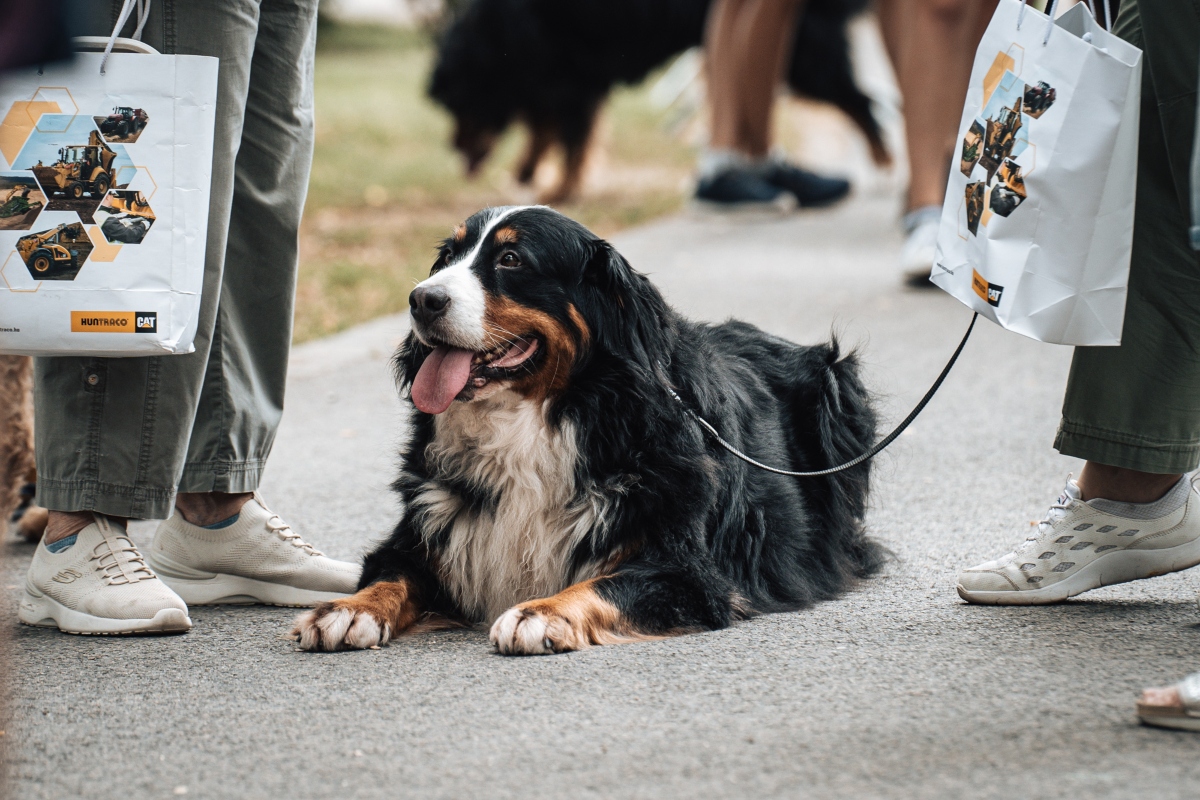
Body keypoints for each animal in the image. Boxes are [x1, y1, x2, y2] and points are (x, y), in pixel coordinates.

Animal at [295, 206, 888, 657]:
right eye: (447, 257)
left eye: (510, 259)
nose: (421, 299)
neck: (535, 420)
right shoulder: (424, 530)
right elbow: (389, 573)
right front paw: (347, 610)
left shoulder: (690, 573)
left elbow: (604, 582)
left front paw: (539, 612)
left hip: (840, 392)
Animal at [427, 0, 888, 203]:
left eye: (457, 106)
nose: (453, 146)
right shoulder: (554, 80)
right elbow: (546, 132)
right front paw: (528, 171)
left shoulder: (569, 81)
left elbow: (569, 140)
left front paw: (561, 188)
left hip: (804, 59)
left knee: (862, 102)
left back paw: (884, 164)